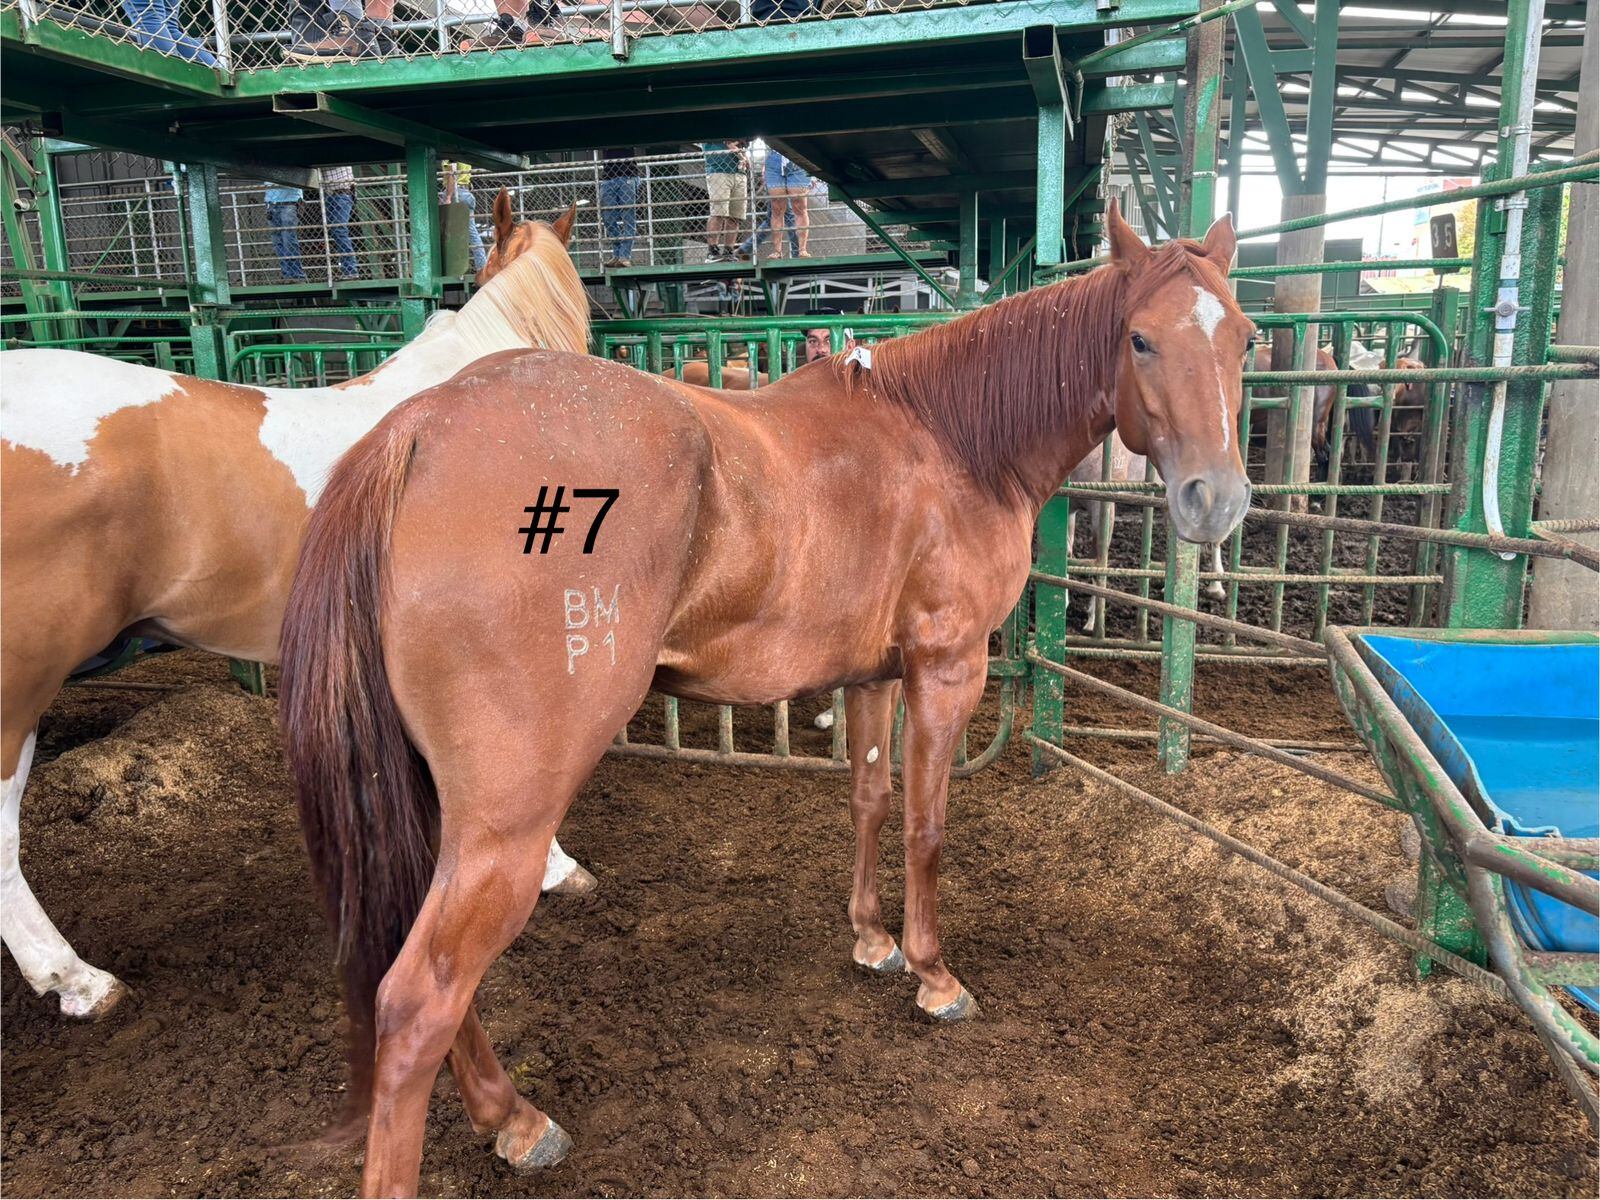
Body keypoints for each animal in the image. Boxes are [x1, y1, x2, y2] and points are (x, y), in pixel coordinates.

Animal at [277, 202, 1253, 1195]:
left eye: (1246, 338)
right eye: (1140, 338)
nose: (1217, 500)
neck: (947, 438)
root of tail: (418, 430)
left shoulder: (875, 675)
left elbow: (870, 799)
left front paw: (872, 939)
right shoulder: (946, 670)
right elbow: (927, 824)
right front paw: (933, 974)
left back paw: (510, 1117)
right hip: (508, 820)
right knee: (420, 997)